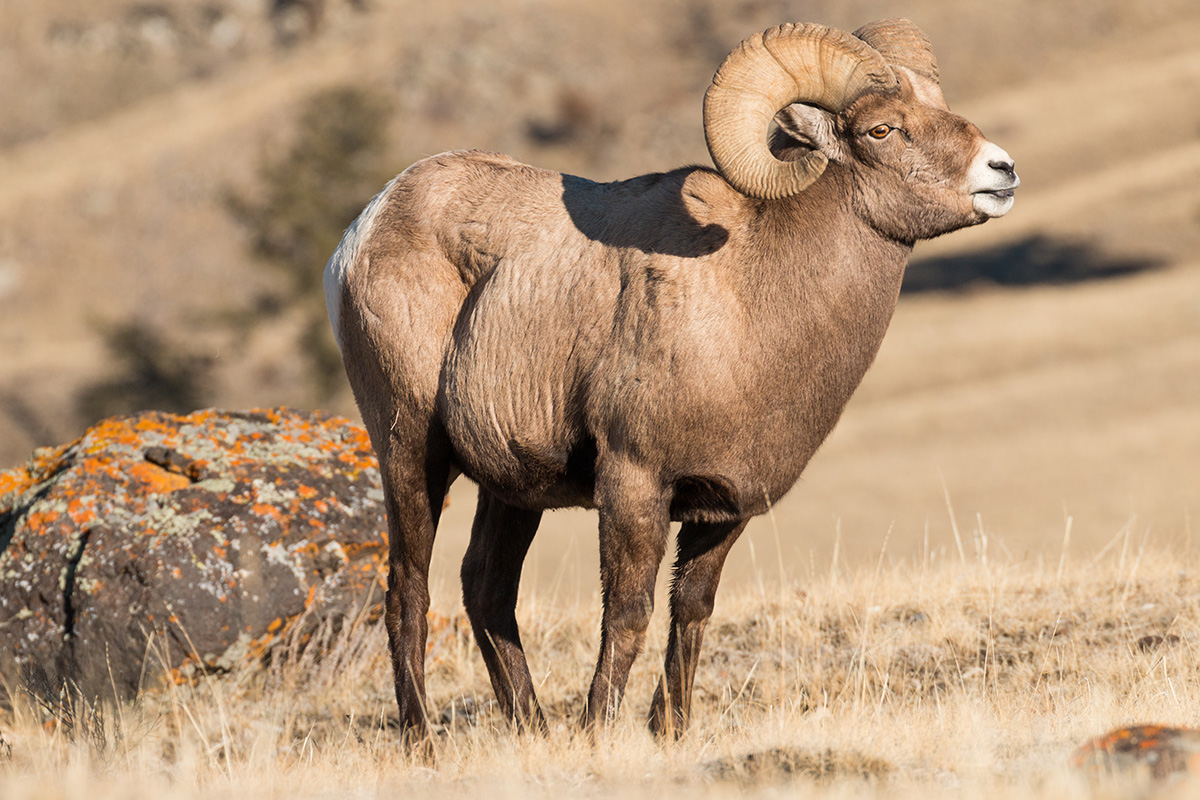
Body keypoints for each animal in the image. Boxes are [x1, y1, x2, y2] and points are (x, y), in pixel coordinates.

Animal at [324, 18, 1019, 745]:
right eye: (882, 129)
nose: (1001, 171)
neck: (748, 301)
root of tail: (363, 231)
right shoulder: (634, 487)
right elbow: (628, 615)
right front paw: (598, 732)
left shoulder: (723, 512)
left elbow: (691, 614)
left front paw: (670, 731)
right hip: (411, 453)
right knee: (409, 590)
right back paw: (423, 742)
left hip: (511, 487)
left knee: (486, 588)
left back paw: (532, 729)